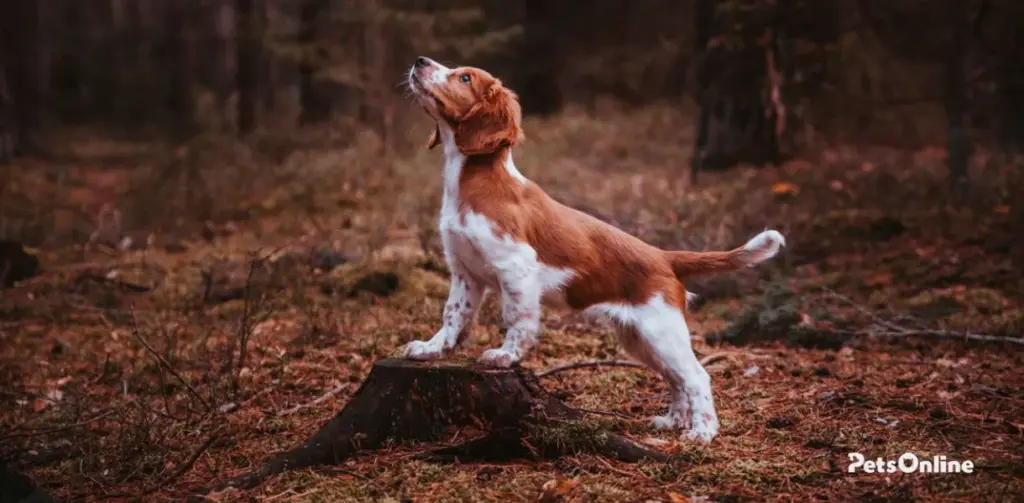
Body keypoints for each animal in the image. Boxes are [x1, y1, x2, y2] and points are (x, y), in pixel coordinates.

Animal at [403, 57, 786, 442]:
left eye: (465, 78)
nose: (420, 61)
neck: (473, 181)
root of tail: (664, 256)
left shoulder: (516, 267)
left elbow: (517, 319)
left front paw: (505, 356)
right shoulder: (464, 272)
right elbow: (453, 315)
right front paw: (432, 349)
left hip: (661, 329)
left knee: (696, 376)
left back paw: (701, 432)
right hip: (639, 338)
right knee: (675, 377)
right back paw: (672, 421)